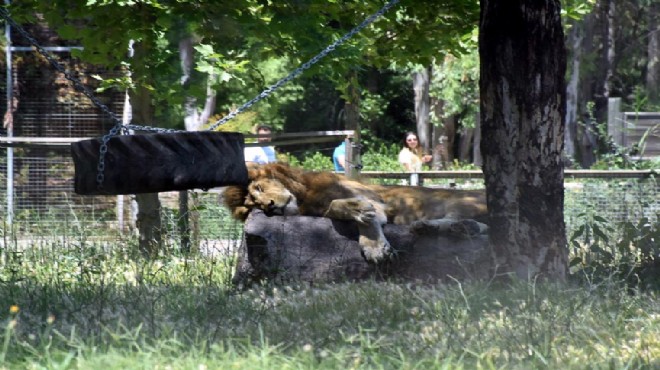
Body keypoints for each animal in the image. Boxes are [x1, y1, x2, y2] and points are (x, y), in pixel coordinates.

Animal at [224, 163, 488, 264]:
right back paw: (438, 227)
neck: (304, 197)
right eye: (253, 206)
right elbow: (334, 209)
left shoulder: (375, 200)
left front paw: (374, 247)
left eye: (259, 188)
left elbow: (338, 204)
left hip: (461, 200)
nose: (268, 207)